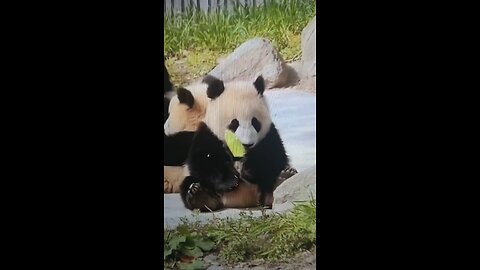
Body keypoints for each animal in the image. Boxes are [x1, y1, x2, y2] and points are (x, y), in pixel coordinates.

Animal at [180, 75, 290, 210]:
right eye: (234, 123)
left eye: (255, 122)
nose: (247, 144)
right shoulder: (208, 132)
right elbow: (203, 161)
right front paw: (230, 181)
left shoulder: (269, 134)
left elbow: (274, 157)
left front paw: (248, 170)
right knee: (189, 182)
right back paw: (199, 196)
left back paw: (282, 179)